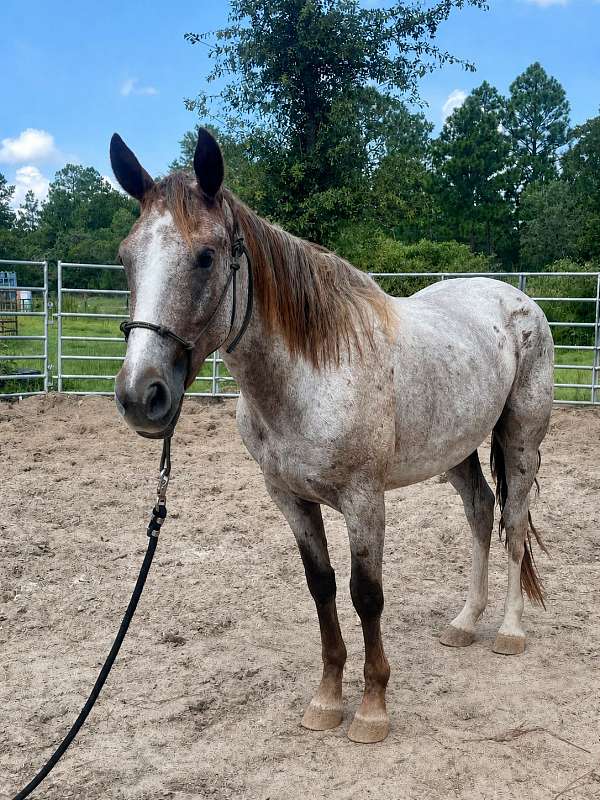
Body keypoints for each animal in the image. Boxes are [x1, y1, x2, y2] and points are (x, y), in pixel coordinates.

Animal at [109, 127, 554, 744]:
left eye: (206, 256)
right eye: (127, 257)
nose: (140, 395)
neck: (311, 375)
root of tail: (515, 299)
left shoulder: (364, 501)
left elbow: (366, 595)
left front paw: (371, 710)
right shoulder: (290, 499)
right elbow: (321, 586)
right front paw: (326, 699)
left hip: (520, 441)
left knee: (512, 524)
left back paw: (509, 631)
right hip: (456, 450)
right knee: (481, 512)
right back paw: (465, 623)